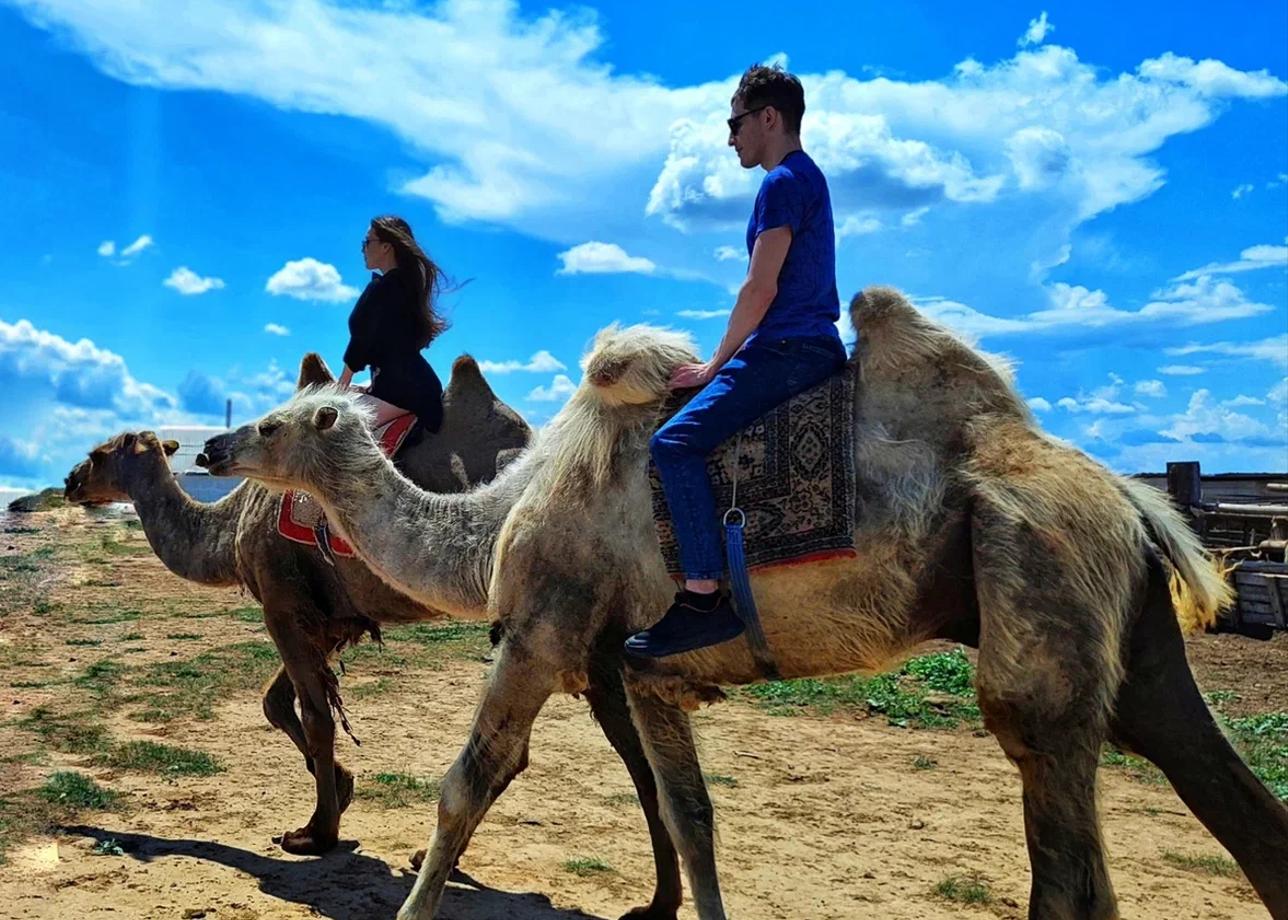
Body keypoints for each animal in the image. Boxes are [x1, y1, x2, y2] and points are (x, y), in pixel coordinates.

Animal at [61, 355, 538, 855]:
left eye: (97, 454)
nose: (70, 481)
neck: (230, 524)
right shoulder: (332, 618)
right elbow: (276, 701)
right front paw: (343, 787)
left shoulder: (282, 603)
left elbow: (316, 717)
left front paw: (317, 831)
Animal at [198, 289, 1288, 917]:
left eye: (280, 421)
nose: (210, 442)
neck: (501, 513)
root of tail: (1136, 499)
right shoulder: (645, 668)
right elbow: (690, 817)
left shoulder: (546, 622)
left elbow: (469, 780)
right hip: (1131, 637)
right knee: (1231, 802)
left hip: (1036, 589)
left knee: (1068, 856)